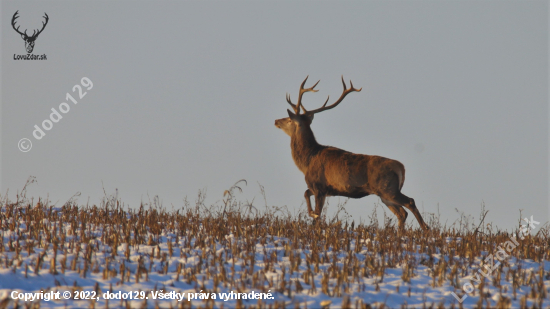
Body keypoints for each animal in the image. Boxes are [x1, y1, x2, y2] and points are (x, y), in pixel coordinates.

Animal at [276, 76, 432, 231]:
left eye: (289, 119)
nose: (276, 120)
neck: (307, 160)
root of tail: (401, 167)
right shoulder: (322, 189)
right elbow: (306, 194)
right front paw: (311, 213)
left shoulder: (318, 185)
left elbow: (317, 213)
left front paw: (313, 217)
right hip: (385, 194)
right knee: (402, 213)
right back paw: (401, 233)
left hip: (388, 188)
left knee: (410, 202)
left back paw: (425, 228)